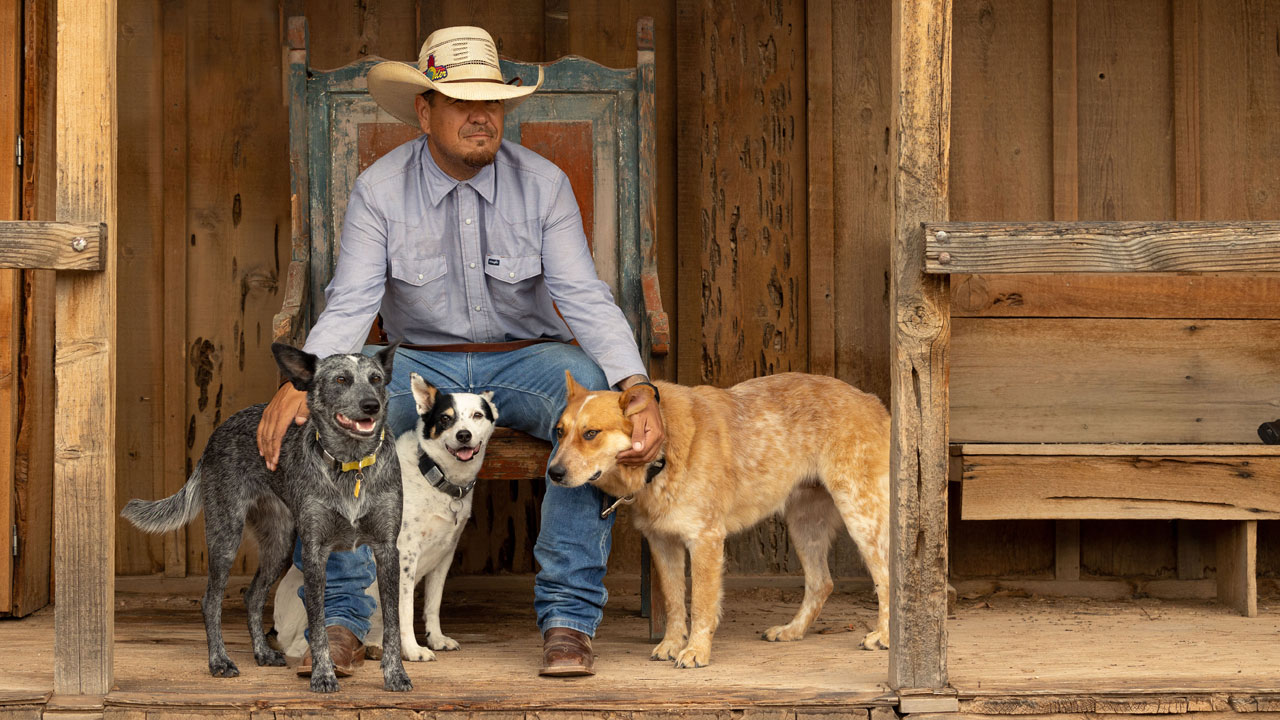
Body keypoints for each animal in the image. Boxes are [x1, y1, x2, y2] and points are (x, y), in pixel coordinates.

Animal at [120, 343, 409, 696]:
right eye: (341, 379)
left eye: (376, 379)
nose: (372, 405)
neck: (351, 466)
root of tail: (217, 432)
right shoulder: (315, 553)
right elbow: (318, 624)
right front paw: (322, 675)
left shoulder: (387, 550)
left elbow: (393, 623)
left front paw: (395, 675)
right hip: (226, 535)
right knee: (210, 601)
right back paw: (220, 661)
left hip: (279, 546)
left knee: (253, 595)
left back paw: (261, 652)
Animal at [272, 376, 496, 661]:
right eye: (446, 419)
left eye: (478, 415)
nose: (463, 435)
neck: (434, 473)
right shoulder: (404, 557)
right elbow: (406, 611)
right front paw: (413, 650)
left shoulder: (444, 556)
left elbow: (432, 605)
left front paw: (436, 639)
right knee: (300, 642)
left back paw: (375, 645)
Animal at [550, 368, 890, 666]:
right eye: (559, 432)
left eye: (591, 433)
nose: (553, 473)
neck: (664, 452)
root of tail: (873, 401)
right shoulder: (662, 542)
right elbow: (674, 601)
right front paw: (671, 644)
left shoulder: (705, 539)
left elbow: (701, 604)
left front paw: (696, 651)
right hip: (804, 524)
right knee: (822, 583)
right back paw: (792, 631)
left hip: (860, 515)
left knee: (886, 576)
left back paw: (883, 636)